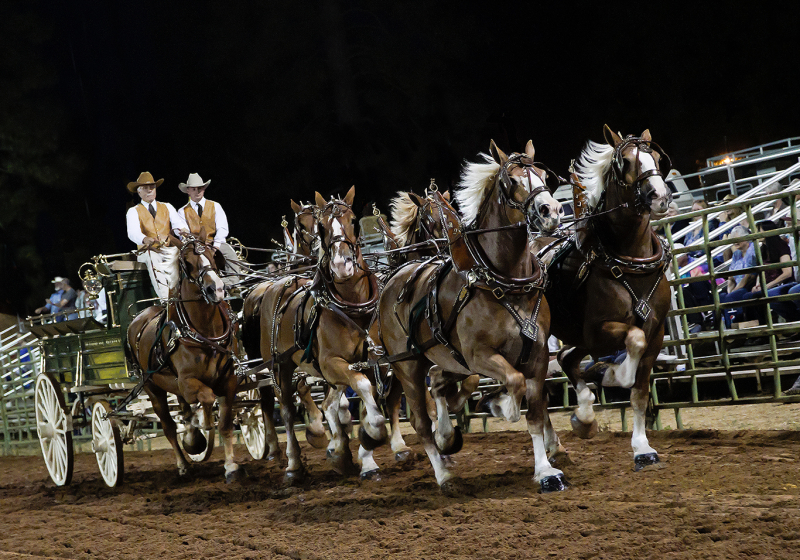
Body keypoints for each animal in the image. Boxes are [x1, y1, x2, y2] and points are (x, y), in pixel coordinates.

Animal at [126, 232, 244, 482]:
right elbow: (207, 397)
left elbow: (226, 425)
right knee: (169, 426)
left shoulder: (229, 381)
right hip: (153, 388)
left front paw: (230, 466)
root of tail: (139, 316)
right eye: (187, 263)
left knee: (183, 411)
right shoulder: (187, 382)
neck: (204, 333)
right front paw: (203, 426)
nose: (217, 289)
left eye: (213, 256)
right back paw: (183, 463)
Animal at [259, 186, 389, 482]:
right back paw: (294, 465)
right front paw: (374, 432)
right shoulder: (330, 363)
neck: (351, 306)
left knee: (329, 402)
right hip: (280, 366)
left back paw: (339, 452)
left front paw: (365, 457)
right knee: (286, 410)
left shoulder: (375, 361)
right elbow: (362, 386)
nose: (342, 265)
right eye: (322, 227)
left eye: (354, 221)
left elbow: (363, 398)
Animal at [378, 140, 567, 493]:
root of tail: (393, 280)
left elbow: (535, 413)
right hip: (407, 366)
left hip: (443, 359)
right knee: (419, 421)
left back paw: (446, 438)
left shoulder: (537, 354)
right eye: (511, 181)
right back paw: (443, 473)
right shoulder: (479, 355)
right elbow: (513, 382)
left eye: (543, 175)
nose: (551, 211)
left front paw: (546, 471)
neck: (503, 282)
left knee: (437, 387)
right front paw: (500, 405)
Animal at [542, 126, 672, 471]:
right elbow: (633, 347)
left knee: (565, 358)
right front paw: (611, 374)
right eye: (625, 161)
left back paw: (584, 418)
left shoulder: (657, 331)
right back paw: (556, 447)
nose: (660, 196)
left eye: (657, 158)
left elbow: (640, 392)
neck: (629, 259)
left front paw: (642, 449)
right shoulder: (599, 330)